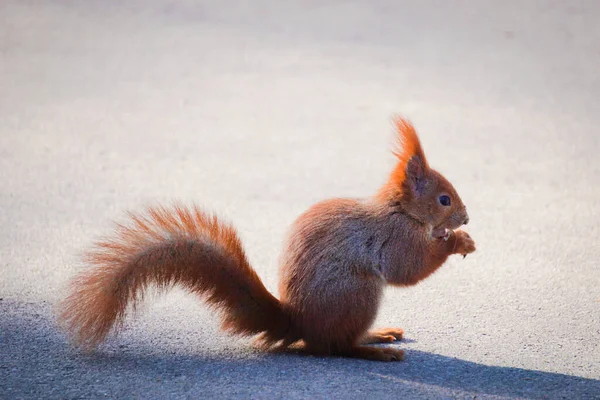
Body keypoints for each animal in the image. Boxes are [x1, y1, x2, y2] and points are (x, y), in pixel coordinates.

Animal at [58, 116, 476, 362]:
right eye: (444, 199)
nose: (466, 217)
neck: (400, 210)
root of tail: (299, 322)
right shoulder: (393, 237)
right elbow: (408, 269)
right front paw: (456, 241)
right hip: (357, 294)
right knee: (333, 346)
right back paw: (371, 350)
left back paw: (379, 334)